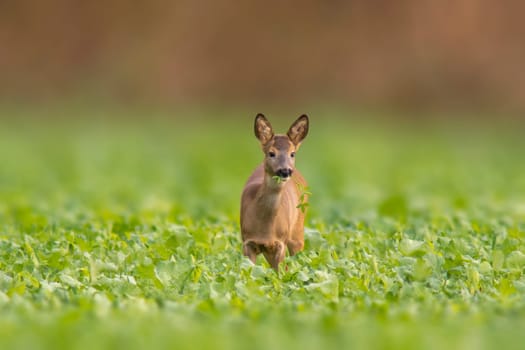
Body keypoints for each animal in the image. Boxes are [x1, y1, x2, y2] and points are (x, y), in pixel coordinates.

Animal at [241, 113, 310, 270]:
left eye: (292, 153)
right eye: (271, 153)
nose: (285, 171)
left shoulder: (280, 243)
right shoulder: (247, 242)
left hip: (297, 231)